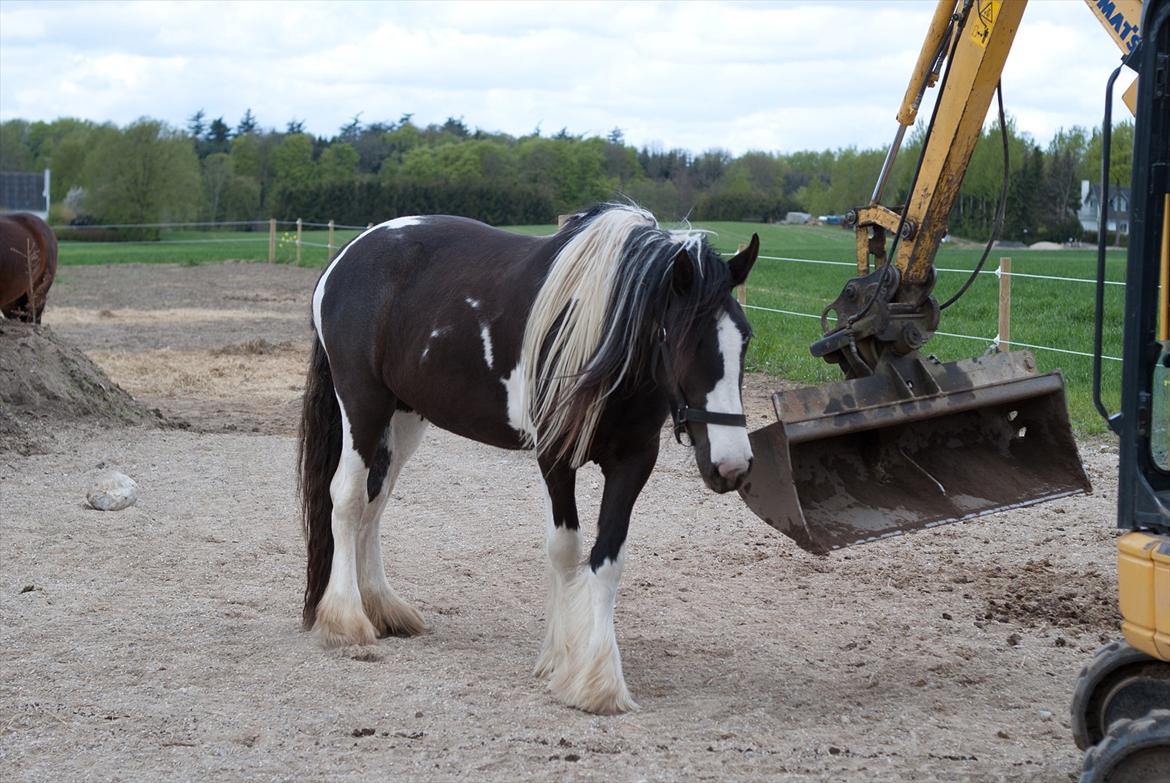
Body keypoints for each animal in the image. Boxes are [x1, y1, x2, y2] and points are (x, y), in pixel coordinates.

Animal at [297, 203, 762, 716]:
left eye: (745, 339)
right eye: (679, 341)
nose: (732, 465)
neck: (602, 332)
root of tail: (349, 253)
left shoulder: (634, 462)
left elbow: (608, 557)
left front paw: (595, 677)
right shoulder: (555, 457)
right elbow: (565, 550)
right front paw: (565, 660)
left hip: (402, 417)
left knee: (374, 504)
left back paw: (383, 608)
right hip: (363, 405)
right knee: (347, 500)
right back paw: (347, 620)